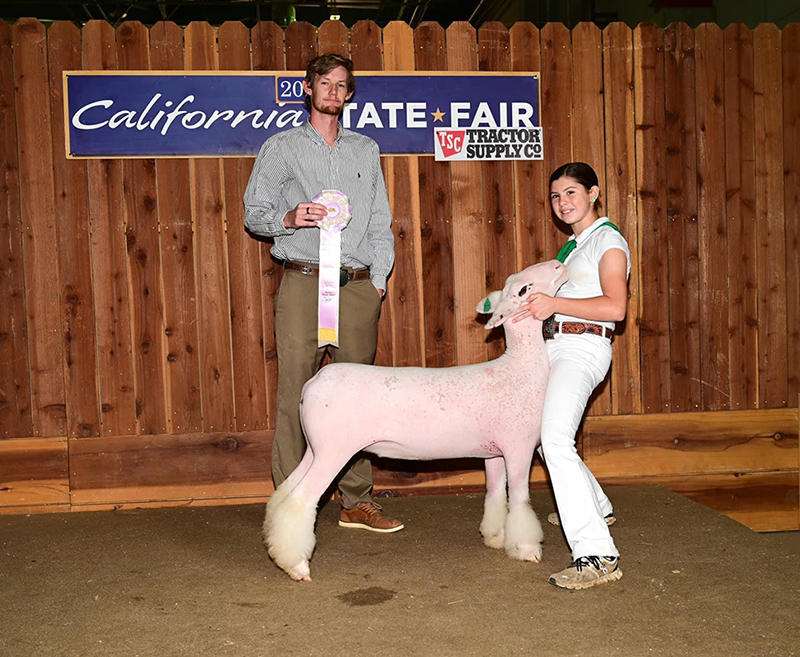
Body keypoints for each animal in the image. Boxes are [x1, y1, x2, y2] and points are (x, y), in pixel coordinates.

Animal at [263, 259, 568, 581]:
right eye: (523, 289)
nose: (558, 264)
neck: (520, 366)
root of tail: (311, 386)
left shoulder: (493, 453)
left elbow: (496, 494)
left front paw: (495, 538)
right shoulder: (519, 447)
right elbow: (520, 499)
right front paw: (527, 549)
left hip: (316, 447)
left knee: (285, 492)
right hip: (333, 451)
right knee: (301, 499)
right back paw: (297, 566)